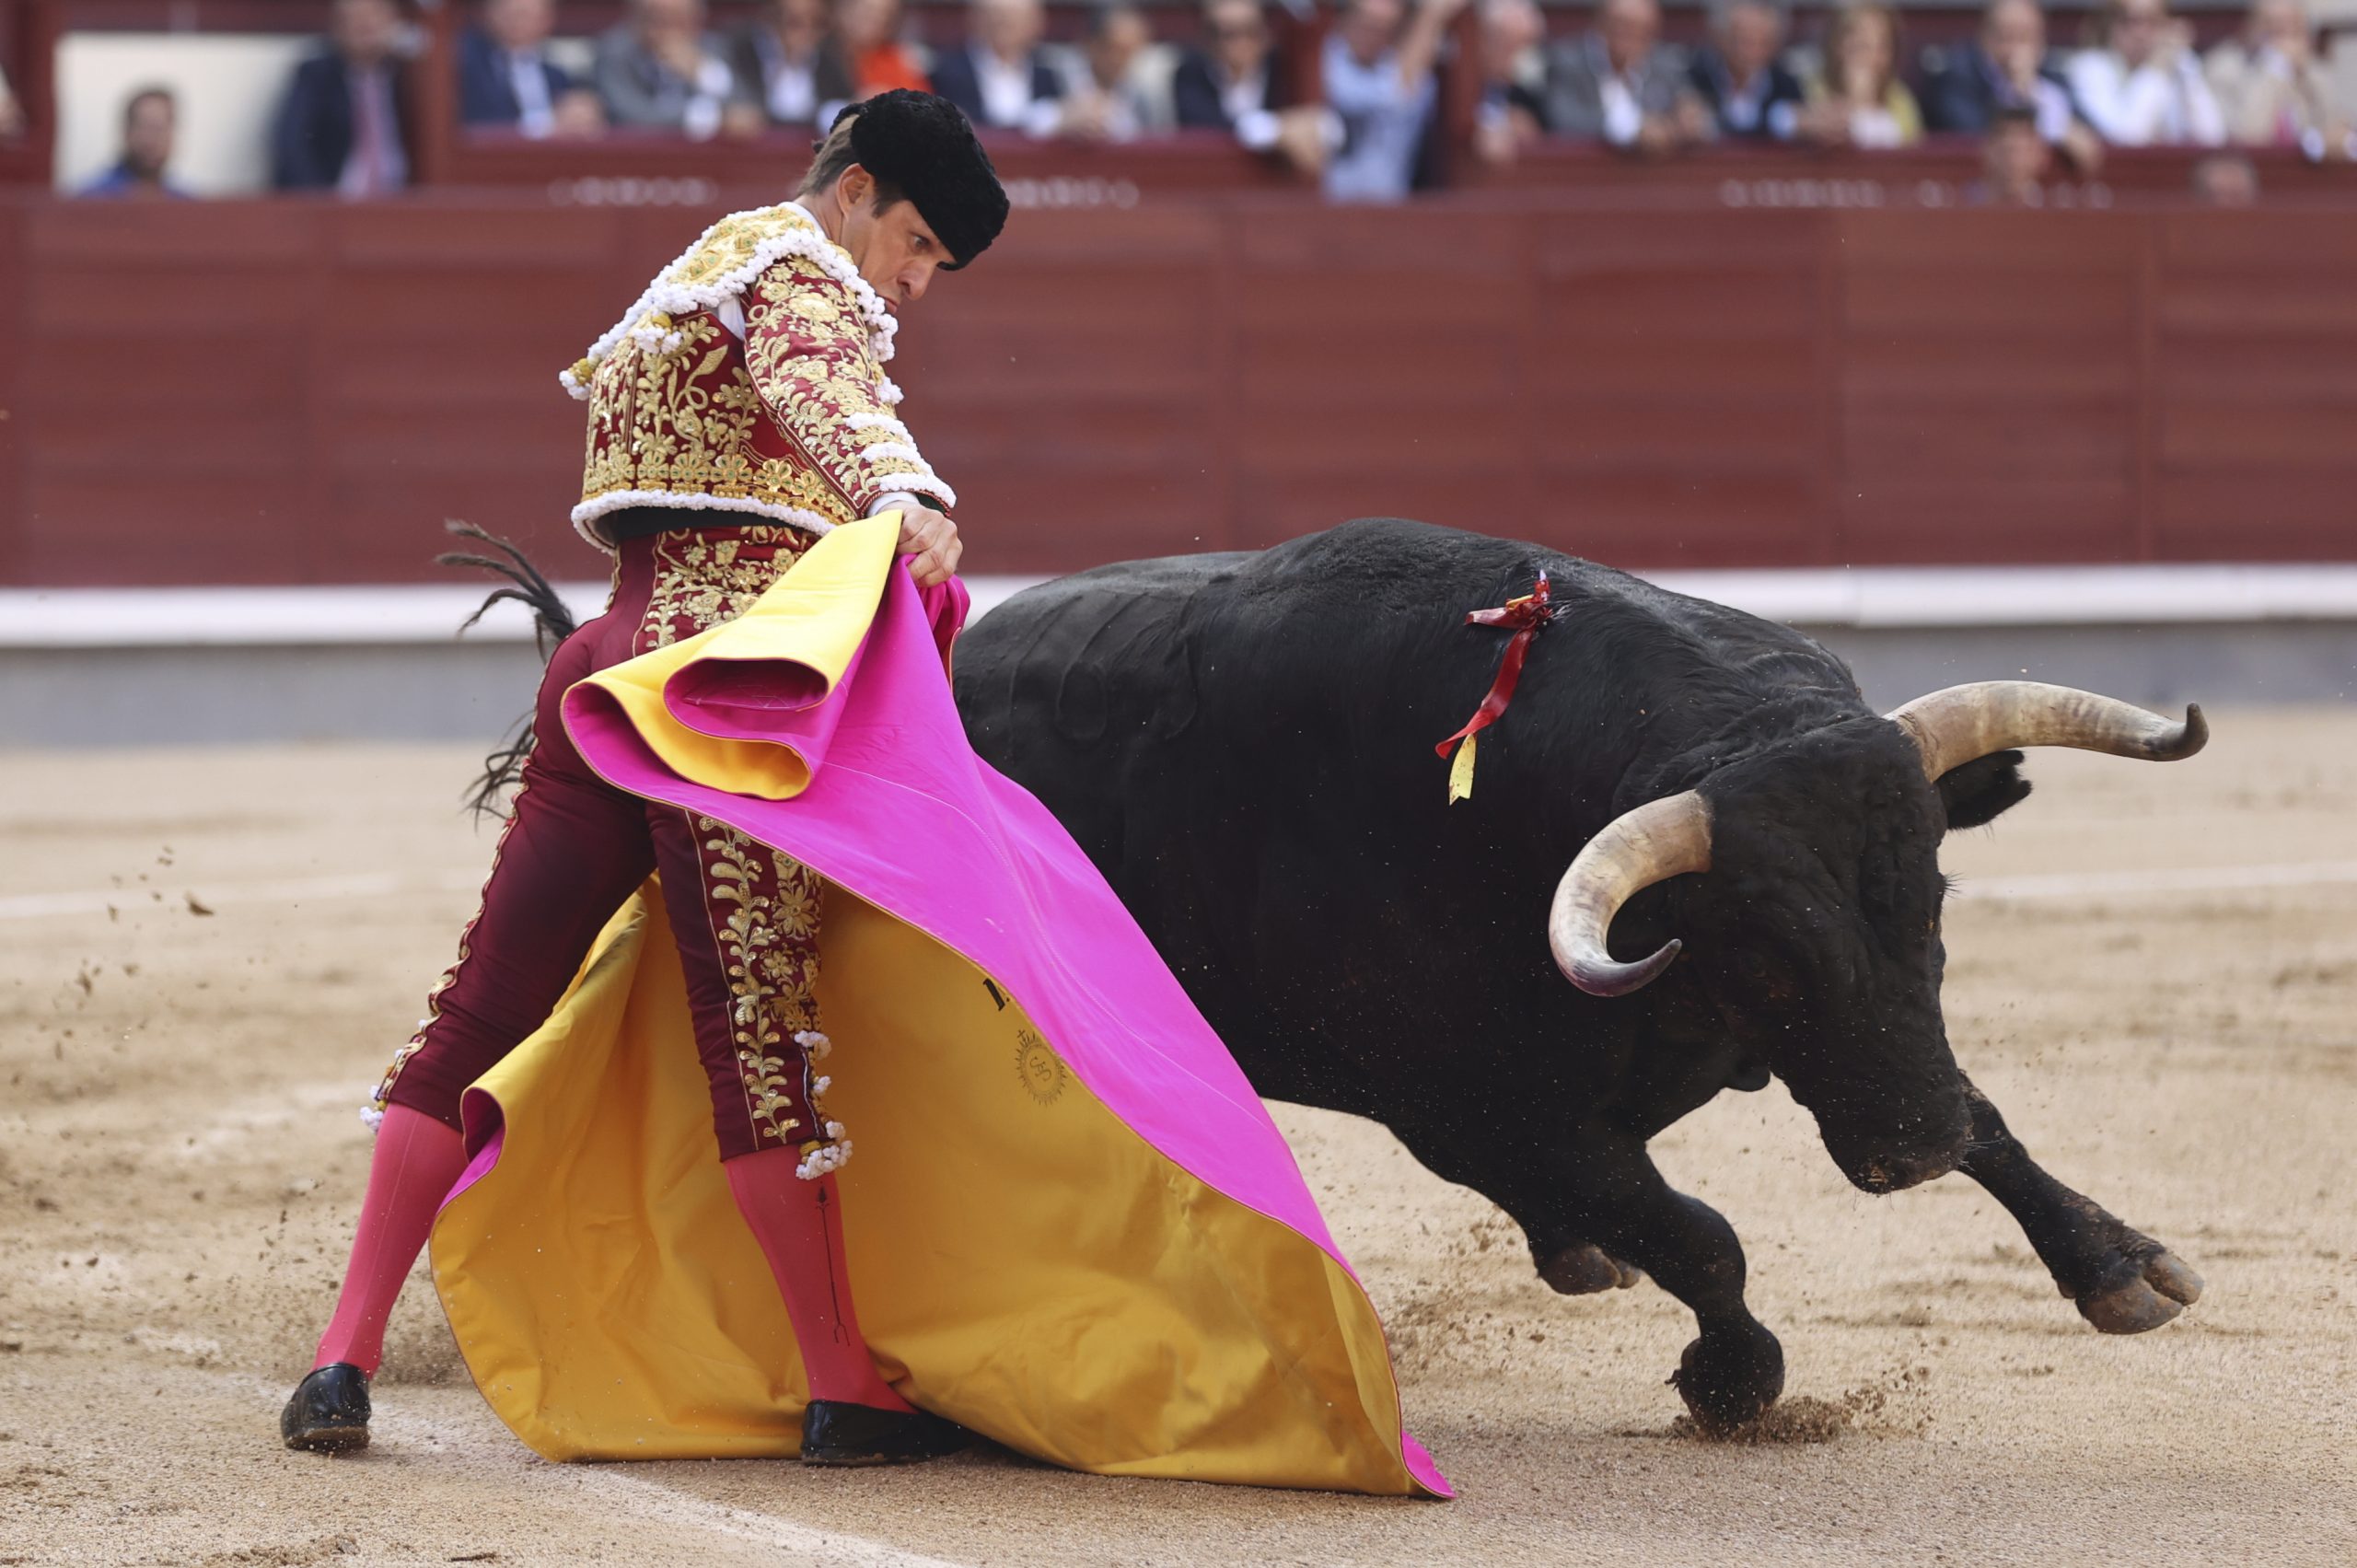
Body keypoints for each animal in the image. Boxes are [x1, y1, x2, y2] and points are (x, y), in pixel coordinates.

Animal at [952, 518, 2206, 1423]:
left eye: (1934, 902)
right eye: (1765, 953)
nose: (1913, 1151)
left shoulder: (1872, 1049)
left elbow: (1984, 1110)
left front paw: (2121, 1265)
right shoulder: (1475, 1111)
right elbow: (1700, 1235)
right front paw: (1731, 1382)